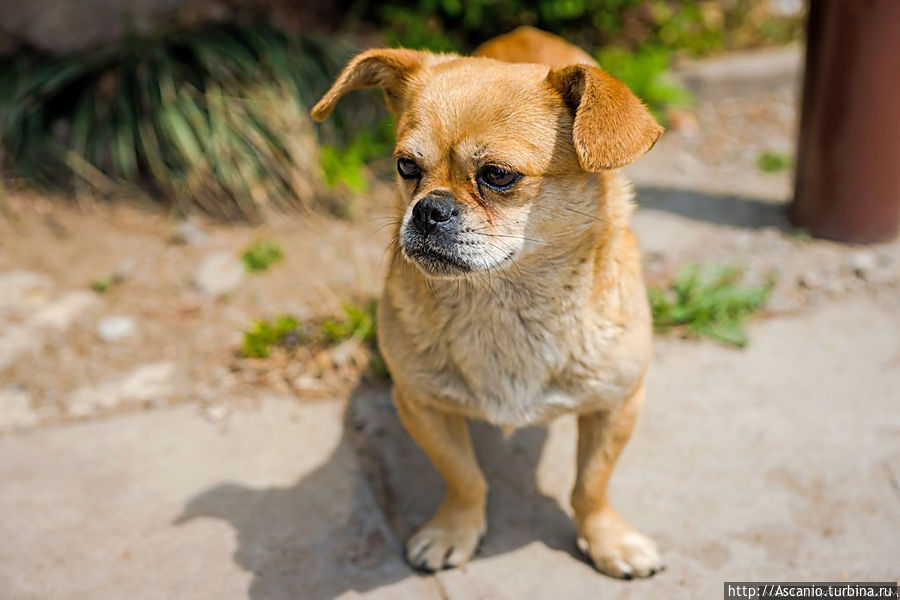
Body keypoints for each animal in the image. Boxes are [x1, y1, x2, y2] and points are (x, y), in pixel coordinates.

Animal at [312, 25, 664, 580]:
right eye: (405, 167)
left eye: (498, 175)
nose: (427, 209)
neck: (503, 301)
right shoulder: (421, 406)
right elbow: (464, 477)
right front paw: (454, 531)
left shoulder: (617, 404)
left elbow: (591, 485)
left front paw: (609, 540)